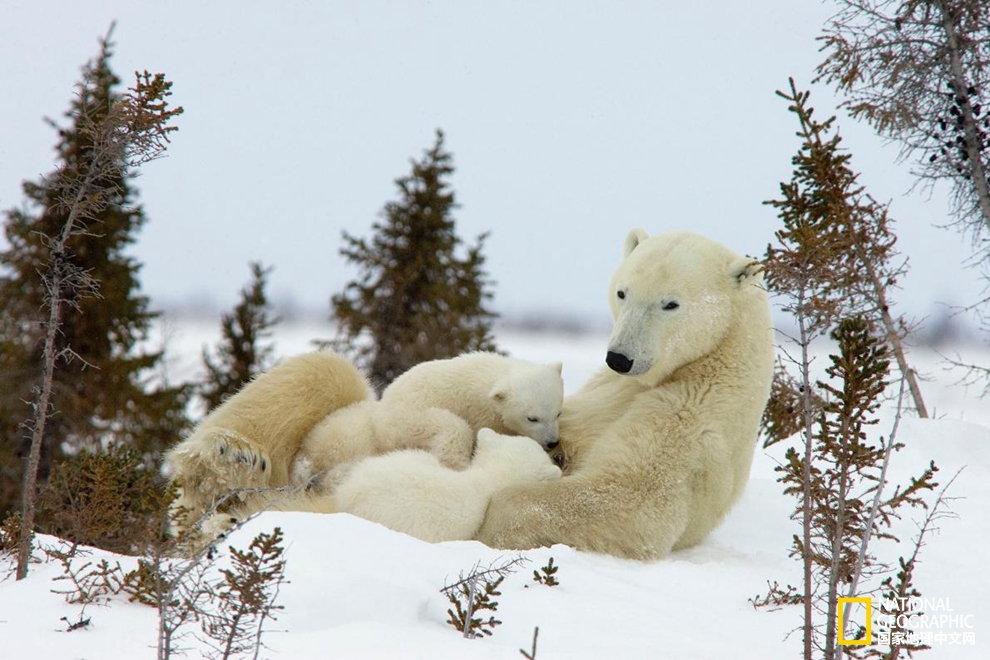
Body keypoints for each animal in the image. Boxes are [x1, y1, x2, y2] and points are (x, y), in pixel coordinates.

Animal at [382, 350, 564, 448]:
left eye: (558, 414)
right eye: (532, 418)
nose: (552, 442)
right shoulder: (482, 415)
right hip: (412, 422)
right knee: (454, 430)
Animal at [472, 229, 776, 560]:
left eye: (670, 303)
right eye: (622, 293)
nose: (619, 358)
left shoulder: (691, 415)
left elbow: (628, 497)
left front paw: (488, 526)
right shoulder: (606, 387)